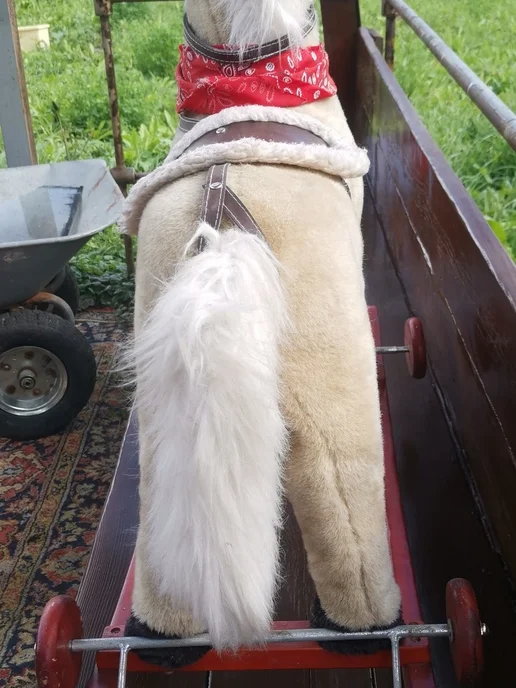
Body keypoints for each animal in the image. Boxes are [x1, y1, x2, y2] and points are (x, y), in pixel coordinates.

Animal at [122, 0, 401, 667]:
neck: (251, 75)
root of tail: (224, 224)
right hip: (334, 397)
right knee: (348, 520)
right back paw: (363, 630)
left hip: (165, 412)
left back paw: (159, 641)